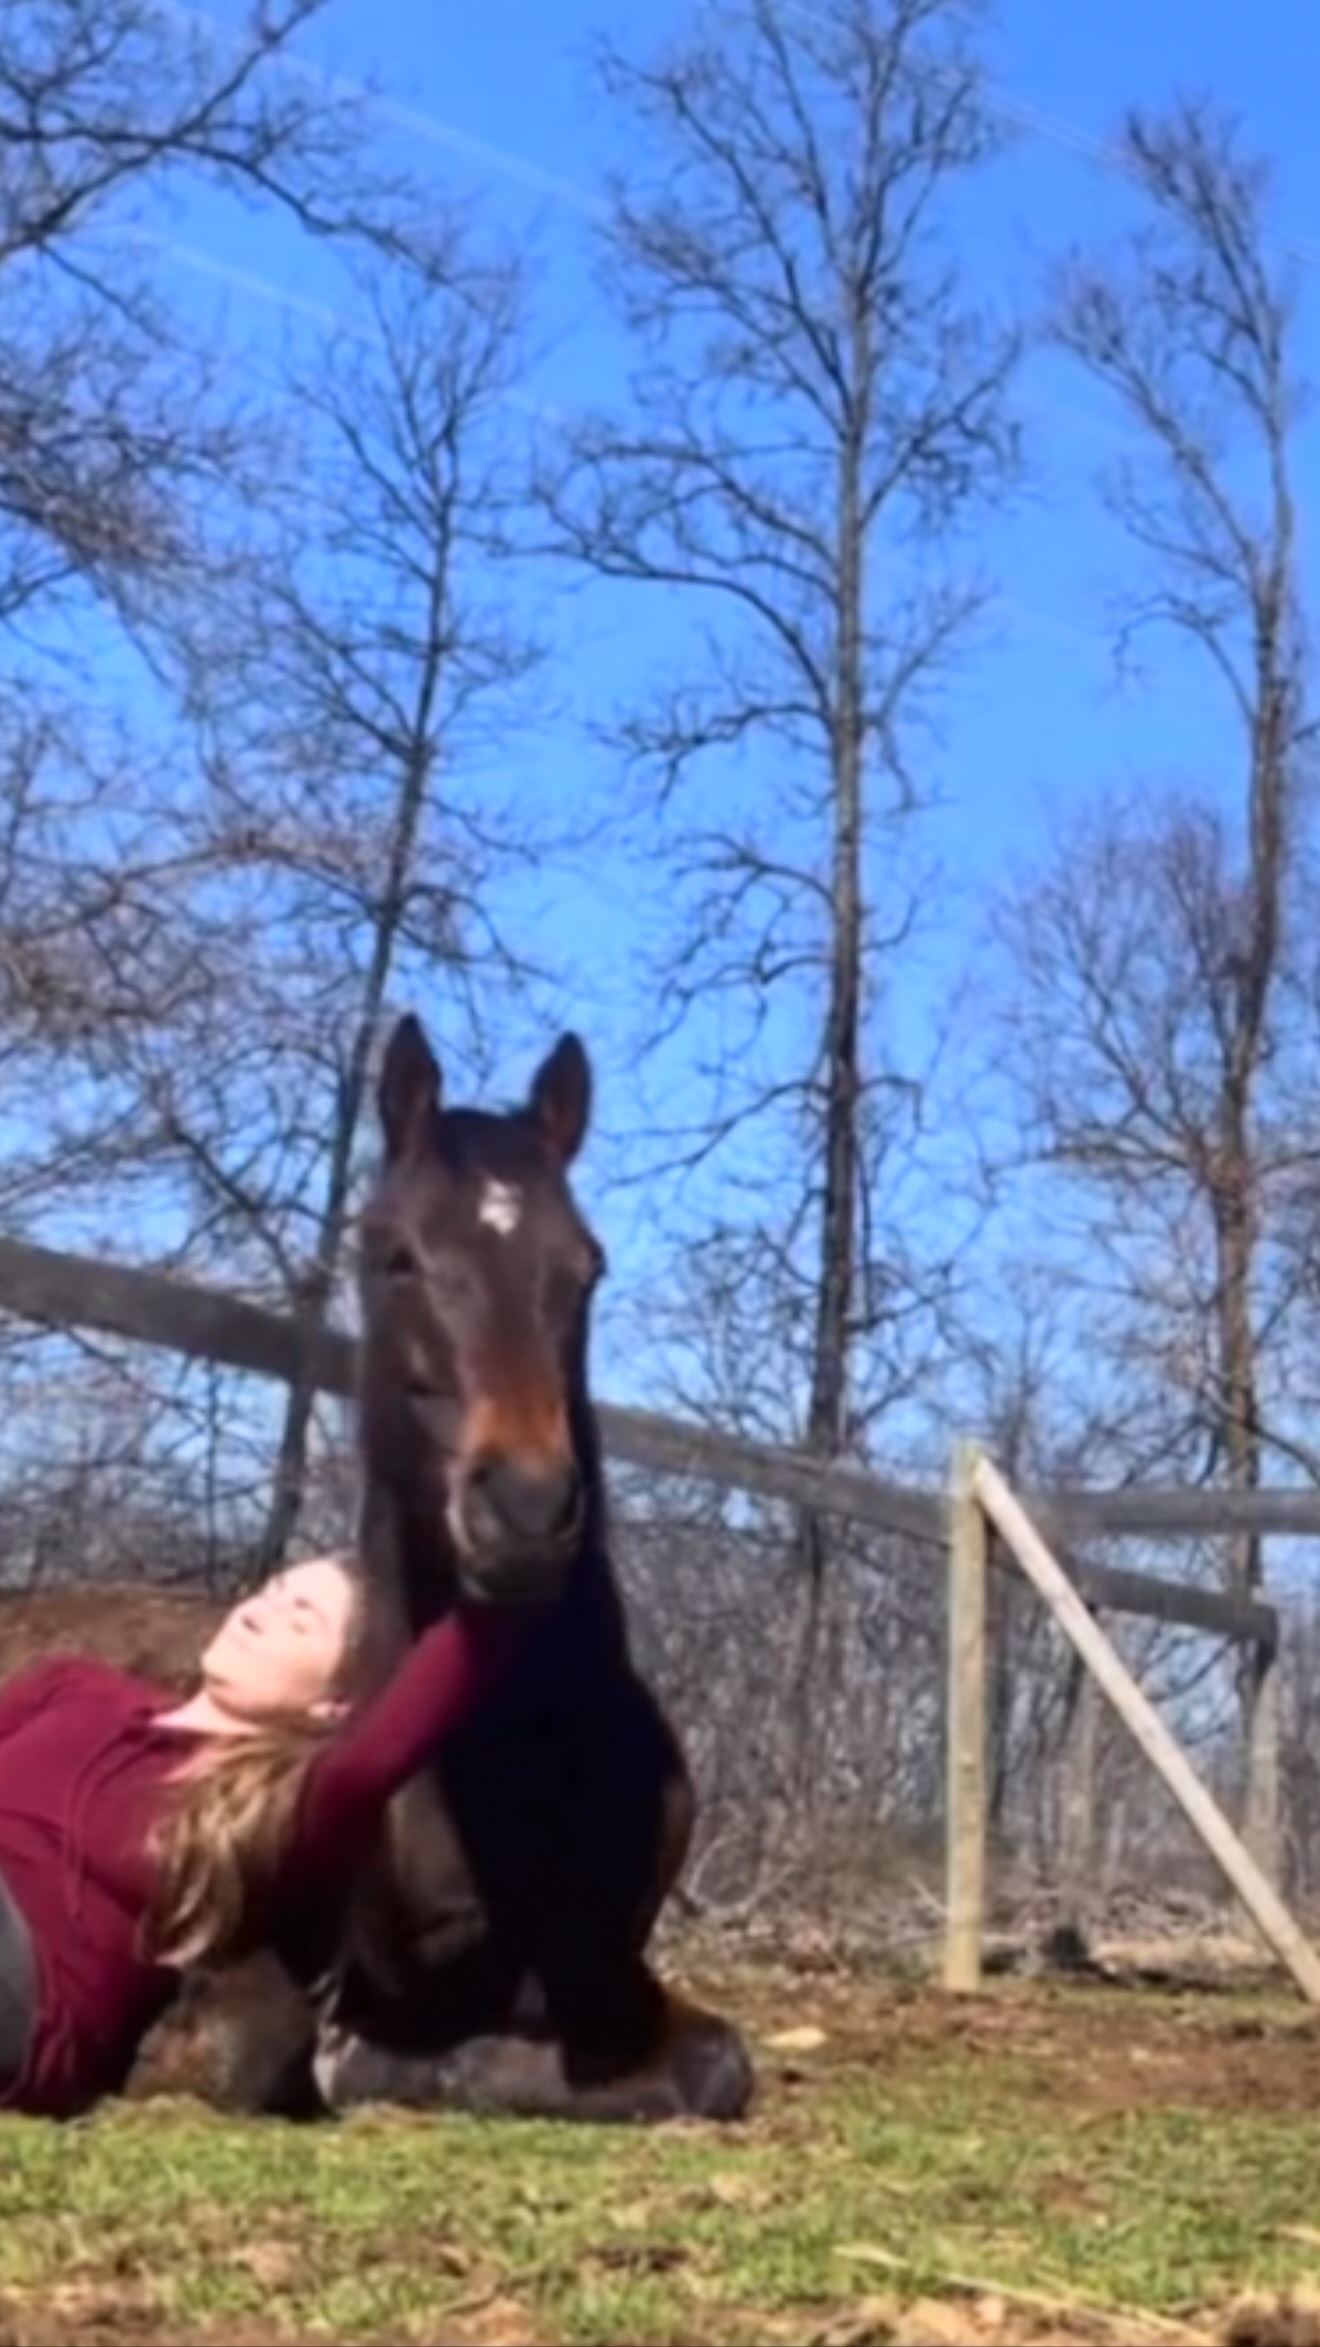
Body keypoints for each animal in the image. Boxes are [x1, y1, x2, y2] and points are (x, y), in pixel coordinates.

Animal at [0, 1015, 755, 2126]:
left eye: (587, 1265)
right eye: (395, 1256)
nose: (525, 1513)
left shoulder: (617, 1976)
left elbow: (715, 2064)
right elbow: (285, 2051)